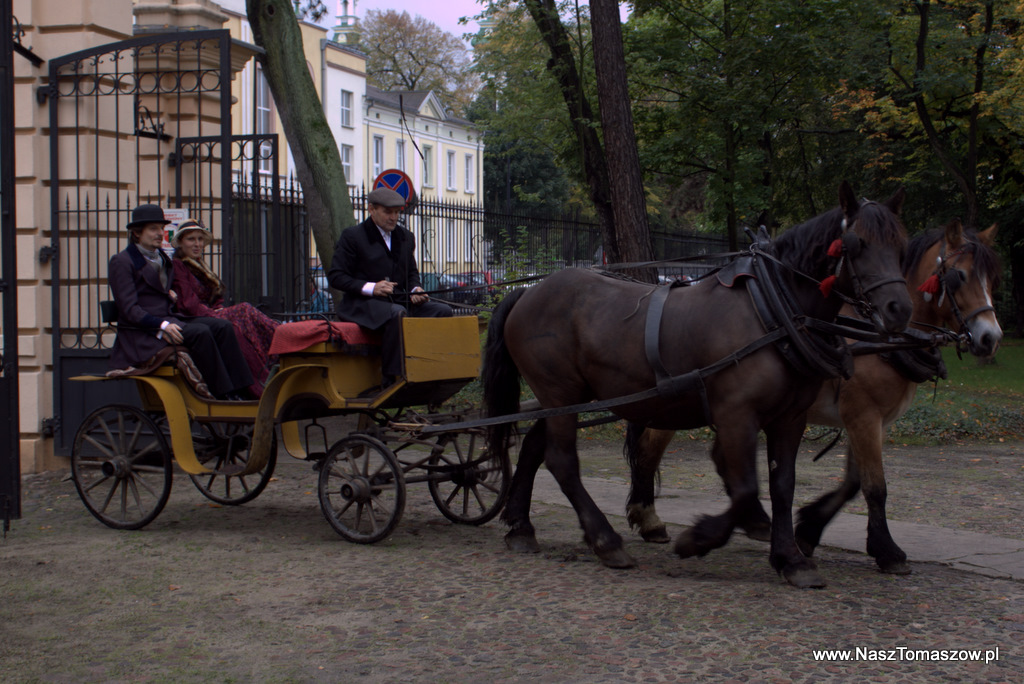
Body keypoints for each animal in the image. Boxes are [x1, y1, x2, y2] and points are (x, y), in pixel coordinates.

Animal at [483, 182, 913, 588]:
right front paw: (698, 539)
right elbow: (746, 488)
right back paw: (605, 540)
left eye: (901, 245)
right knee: (562, 460)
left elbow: (782, 486)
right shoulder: (737, 414)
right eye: (856, 244)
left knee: (535, 448)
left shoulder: (790, 418)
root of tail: (525, 292)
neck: (770, 312)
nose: (899, 309)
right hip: (559, 390)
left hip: (565, 397)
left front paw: (790, 558)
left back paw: (521, 526)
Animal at [624, 219, 1002, 575]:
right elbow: (874, 486)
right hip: (676, 403)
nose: (990, 337)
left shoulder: (870, 421)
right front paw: (887, 550)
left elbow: (853, 482)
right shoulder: (863, 415)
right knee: (648, 453)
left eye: (991, 278)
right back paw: (650, 518)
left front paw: (808, 531)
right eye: (959, 275)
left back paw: (755, 520)